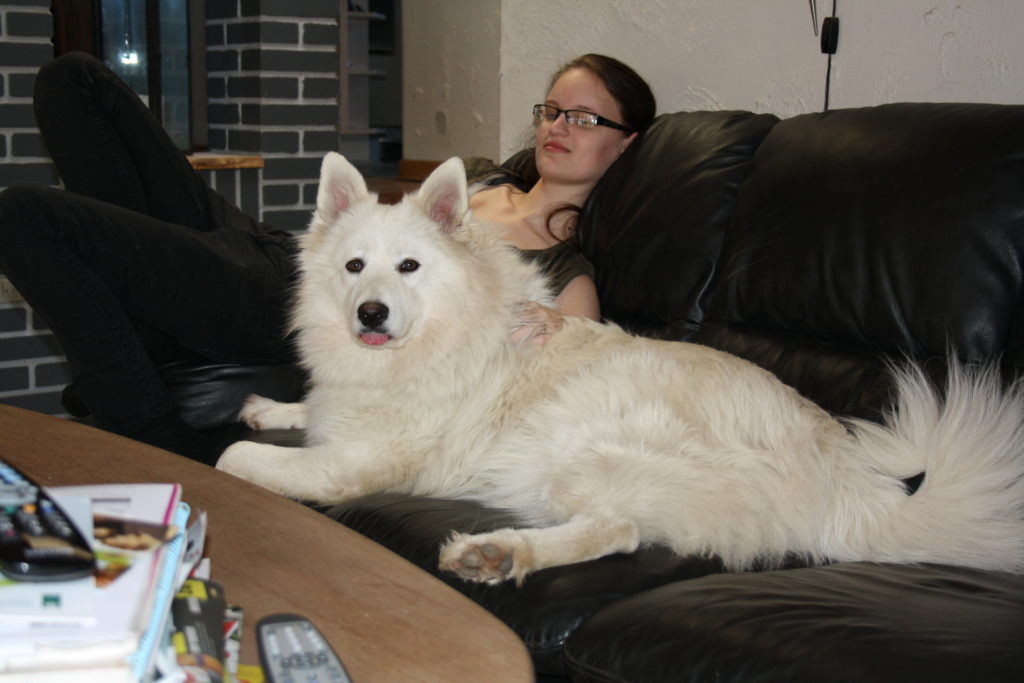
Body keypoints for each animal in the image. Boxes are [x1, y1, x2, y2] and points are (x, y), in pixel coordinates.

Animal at [218, 152, 1024, 585]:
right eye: (355, 267)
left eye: (409, 268)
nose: (370, 314)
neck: (448, 331)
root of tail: (842, 477)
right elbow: (307, 409)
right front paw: (273, 406)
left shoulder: (354, 465)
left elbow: (236, 459)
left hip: (587, 446)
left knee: (619, 531)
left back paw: (496, 550)